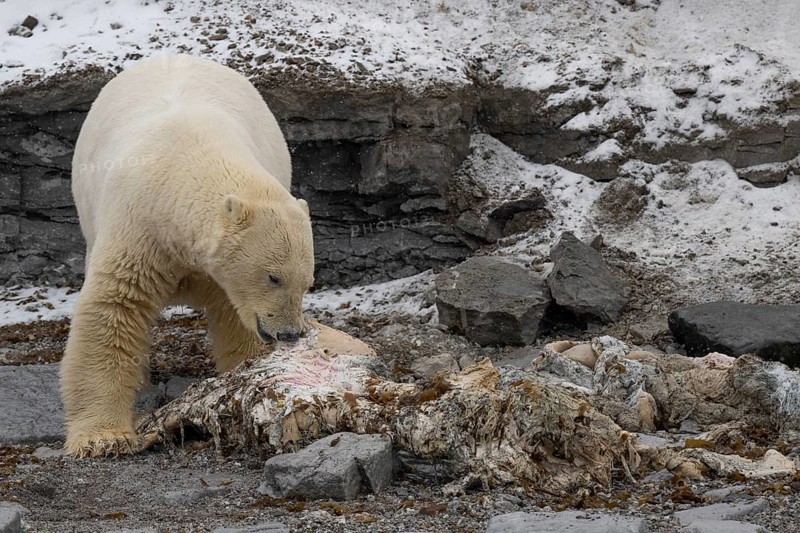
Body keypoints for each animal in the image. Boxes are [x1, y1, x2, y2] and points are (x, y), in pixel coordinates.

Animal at [61, 54, 315, 457]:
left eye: (308, 284)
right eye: (274, 276)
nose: (289, 333)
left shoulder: (219, 273)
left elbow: (234, 317)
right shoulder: (140, 226)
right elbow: (113, 306)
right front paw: (103, 438)